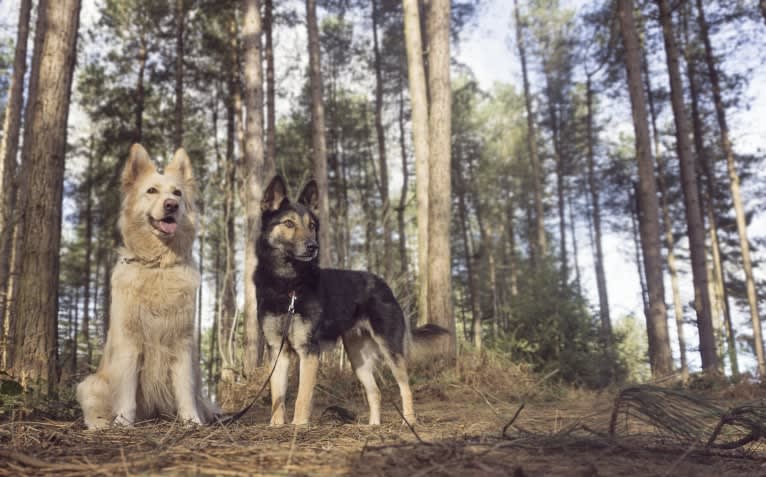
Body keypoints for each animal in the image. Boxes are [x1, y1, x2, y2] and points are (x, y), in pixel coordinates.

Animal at [258, 175, 450, 424]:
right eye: (289, 224)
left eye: (312, 226)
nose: (313, 247)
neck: (288, 285)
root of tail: (383, 284)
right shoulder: (277, 351)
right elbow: (277, 397)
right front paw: (276, 426)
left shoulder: (308, 351)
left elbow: (301, 398)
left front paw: (299, 426)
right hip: (358, 359)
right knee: (375, 391)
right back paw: (373, 426)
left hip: (389, 349)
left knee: (405, 386)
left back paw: (409, 420)